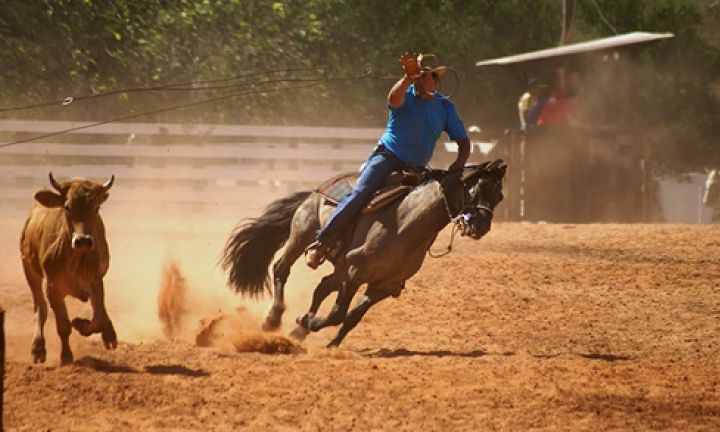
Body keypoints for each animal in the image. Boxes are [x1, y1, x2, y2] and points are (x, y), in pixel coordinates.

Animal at [19, 172, 117, 364]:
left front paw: (81, 324)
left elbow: (99, 315)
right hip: (30, 270)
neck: (77, 260)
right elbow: (63, 326)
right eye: (67, 207)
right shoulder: (53, 289)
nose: (83, 240)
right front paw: (66, 356)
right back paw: (38, 348)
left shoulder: (96, 280)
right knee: (40, 308)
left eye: (96, 208)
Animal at [221, 160, 506, 346]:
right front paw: (308, 322)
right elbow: (338, 313)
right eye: (474, 188)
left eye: (499, 196)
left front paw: (328, 342)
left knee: (322, 286)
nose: (481, 226)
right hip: (302, 236)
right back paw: (273, 320)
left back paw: (298, 332)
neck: (403, 225)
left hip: (339, 266)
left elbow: (351, 318)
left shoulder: (385, 285)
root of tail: (316, 190)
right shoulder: (354, 274)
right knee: (281, 268)